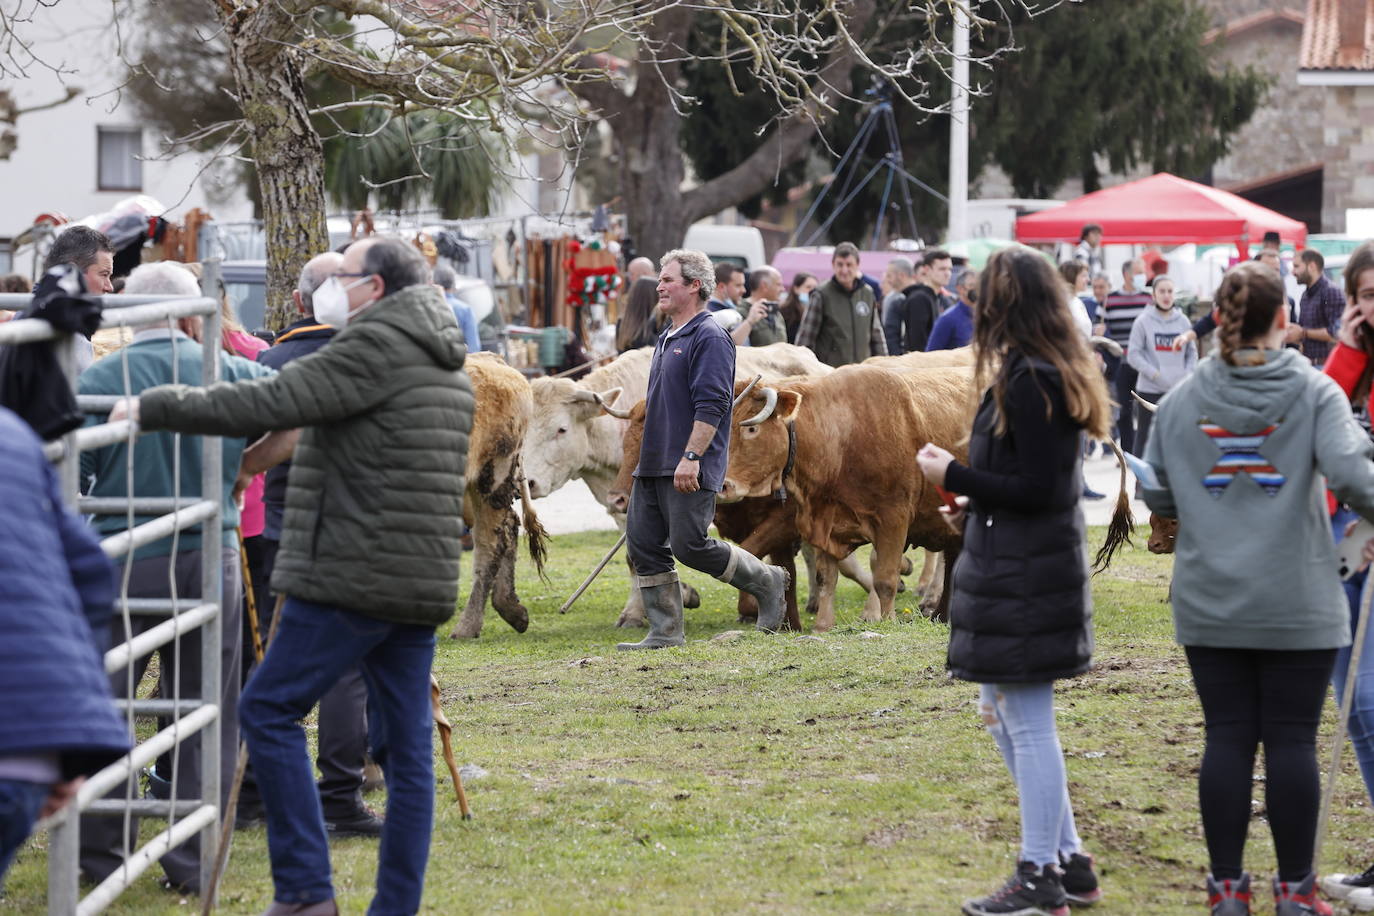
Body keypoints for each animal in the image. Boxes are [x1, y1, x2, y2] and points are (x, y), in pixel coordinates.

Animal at [719, 365, 978, 631]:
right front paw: (823, 625)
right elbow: (826, 577)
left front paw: (887, 619)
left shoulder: (893, 519)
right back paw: (941, 615)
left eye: (751, 428)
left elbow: (885, 578)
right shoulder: (824, 522)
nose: (724, 486)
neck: (842, 438)